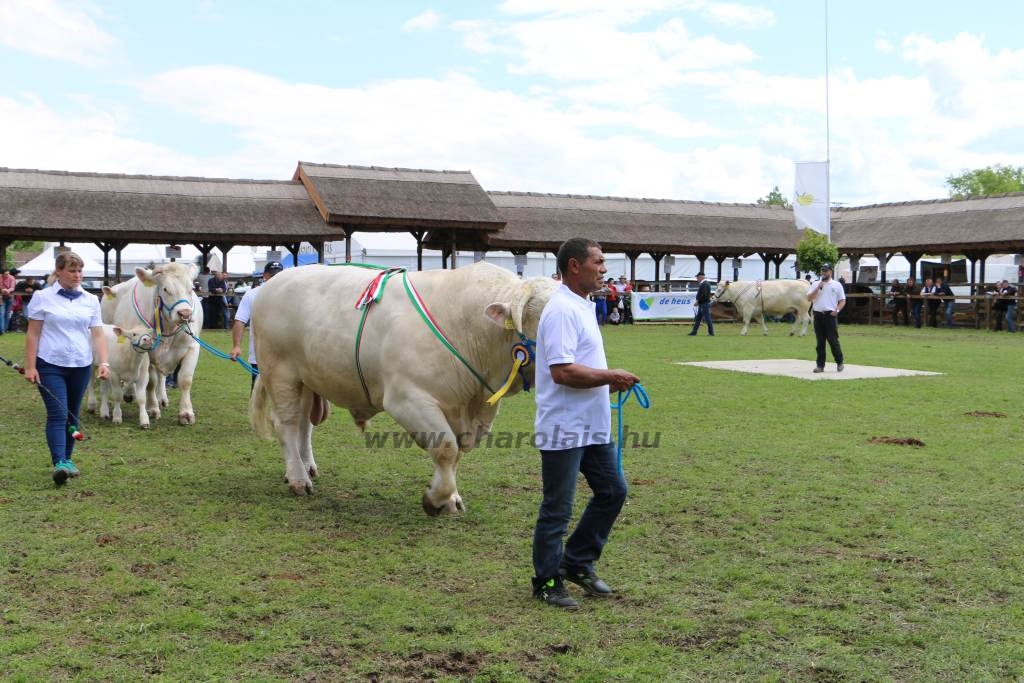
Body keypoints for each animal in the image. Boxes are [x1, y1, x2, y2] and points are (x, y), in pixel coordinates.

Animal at [100, 264, 202, 423]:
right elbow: (150, 383)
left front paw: (186, 413)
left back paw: (162, 399)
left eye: (191, 288)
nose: (185, 314)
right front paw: (152, 408)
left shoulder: (192, 347)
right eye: (165, 289)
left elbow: (185, 379)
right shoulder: (146, 353)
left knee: (161, 376)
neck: (168, 328)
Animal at [252, 264, 561, 516]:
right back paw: (298, 479)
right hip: (280, 374)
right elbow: (446, 448)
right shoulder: (408, 399)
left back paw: (307, 467)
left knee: (304, 424)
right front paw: (436, 499)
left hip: (307, 379)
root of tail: (273, 283)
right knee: (286, 424)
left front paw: (450, 498)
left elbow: (457, 454)